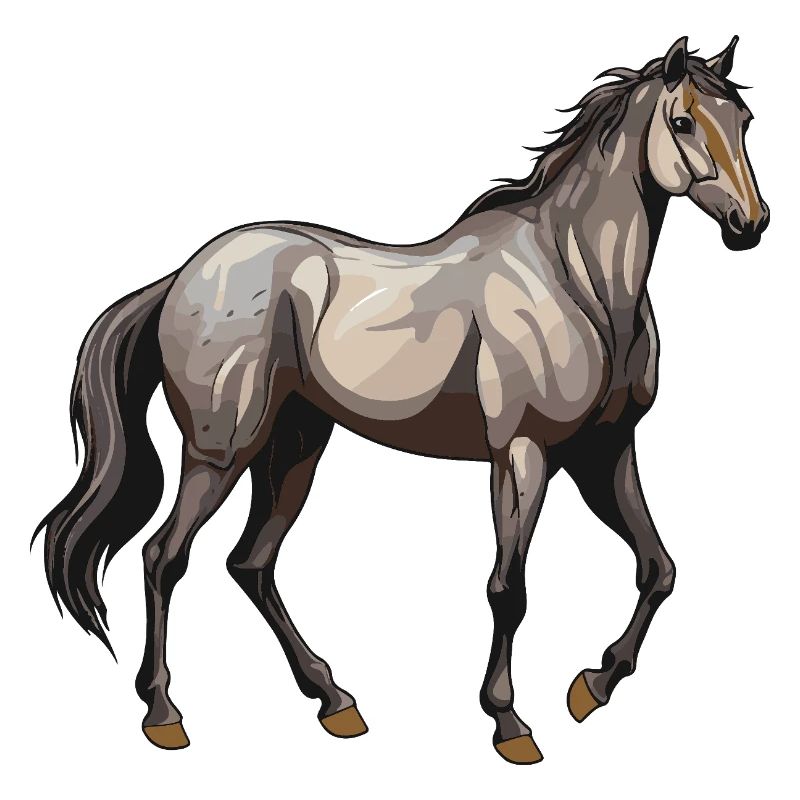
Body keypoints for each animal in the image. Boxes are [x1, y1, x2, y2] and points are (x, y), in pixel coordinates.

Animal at [34, 35, 769, 764]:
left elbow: (658, 569)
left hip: (294, 449)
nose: (751, 224)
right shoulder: (522, 455)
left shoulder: (604, 452)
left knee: (251, 564)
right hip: (219, 453)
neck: (577, 279)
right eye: (683, 122)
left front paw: (592, 686)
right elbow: (509, 590)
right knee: (164, 558)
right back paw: (164, 714)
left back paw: (335, 702)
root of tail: (185, 274)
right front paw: (510, 724)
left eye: (744, 121)